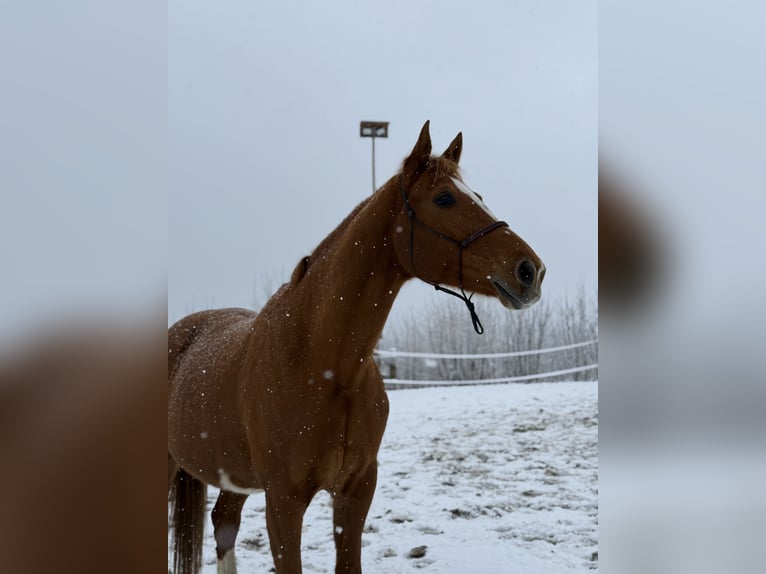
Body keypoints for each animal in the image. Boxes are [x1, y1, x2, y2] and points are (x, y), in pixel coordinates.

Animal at [168, 120, 545, 574]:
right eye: (444, 198)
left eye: (479, 196)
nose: (531, 270)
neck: (323, 365)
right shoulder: (283, 502)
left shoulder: (357, 489)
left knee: (224, 522)